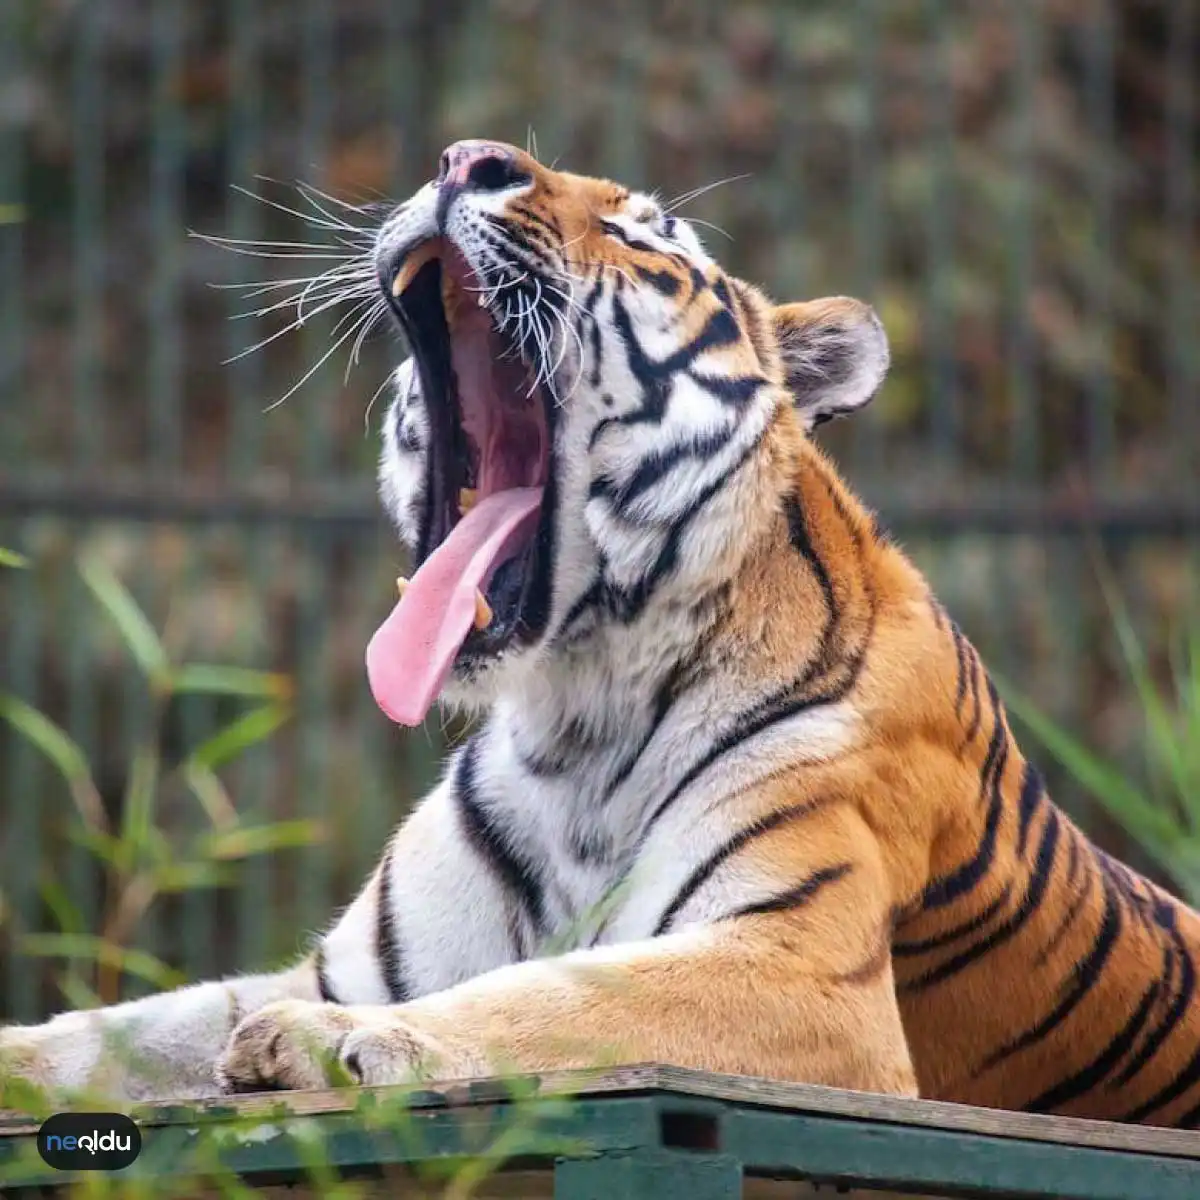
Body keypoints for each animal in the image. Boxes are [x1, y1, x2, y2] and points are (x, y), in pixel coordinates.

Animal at [2, 140, 1200, 1123]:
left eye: (641, 236)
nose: (465, 159)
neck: (575, 710)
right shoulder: (346, 960)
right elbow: (120, 1032)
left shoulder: (800, 969)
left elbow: (552, 995)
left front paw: (330, 1042)